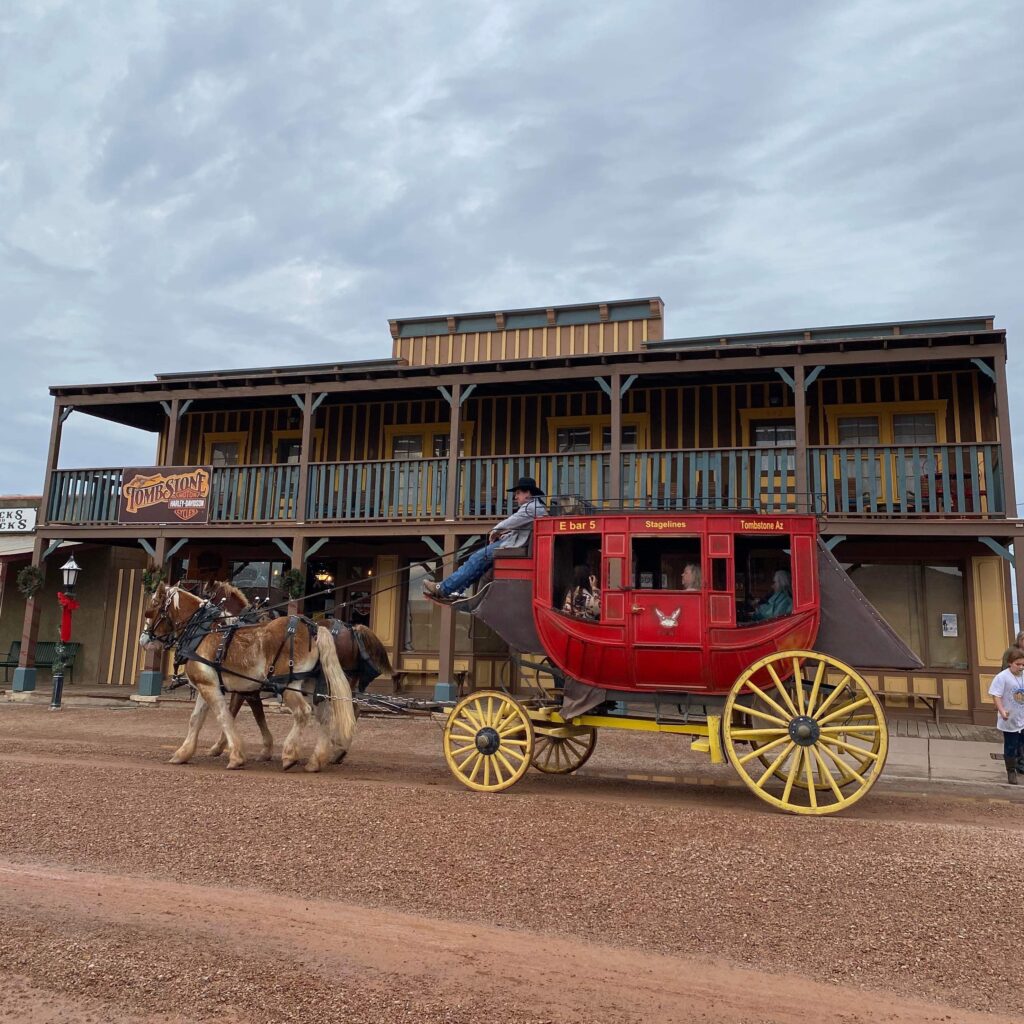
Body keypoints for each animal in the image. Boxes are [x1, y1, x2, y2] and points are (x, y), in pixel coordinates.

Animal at [140, 585, 356, 770]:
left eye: (153, 606)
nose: (143, 639)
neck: (202, 633)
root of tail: (313, 629)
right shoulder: (206, 685)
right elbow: (196, 720)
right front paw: (182, 754)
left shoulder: (215, 687)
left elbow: (224, 716)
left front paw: (235, 757)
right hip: (308, 685)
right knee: (325, 716)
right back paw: (316, 761)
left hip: (288, 684)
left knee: (302, 712)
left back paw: (290, 755)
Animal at [200, 581, 391, 765]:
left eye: (206, 596)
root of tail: (353, 630)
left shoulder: (246, 689)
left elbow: (235, 713)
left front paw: (219, 748)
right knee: (351, 709)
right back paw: (338, 751)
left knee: (348, 710)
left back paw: (337, 749)